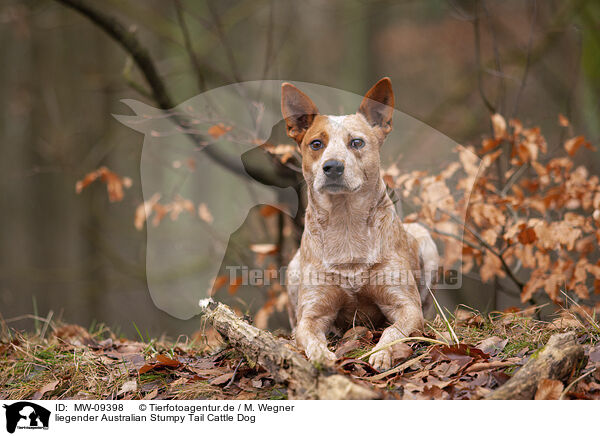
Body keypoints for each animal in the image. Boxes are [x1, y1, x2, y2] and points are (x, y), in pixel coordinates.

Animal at [282, 76, 440, 370]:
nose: (332, 166)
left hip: (426, 241)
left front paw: (382, 353)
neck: (346, 225)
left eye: (356, 142)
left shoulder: (406, 305)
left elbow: (393, 330)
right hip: (293, 268)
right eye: (316, 144)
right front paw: (321, 356)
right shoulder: (311, 313)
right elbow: (309, 337)